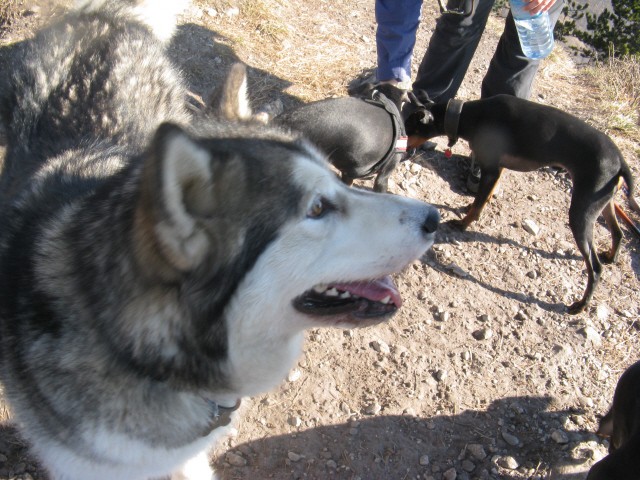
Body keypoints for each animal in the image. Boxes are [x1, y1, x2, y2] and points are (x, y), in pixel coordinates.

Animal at [408, 94, 636, 316]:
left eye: (409, 128)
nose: (403, 146)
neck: (468, 114)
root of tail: (620, 161)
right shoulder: (497, 169)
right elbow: (483, 197)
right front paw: (468, 209)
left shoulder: (491, 168)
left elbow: (479, 202)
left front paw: (464, 223)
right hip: (603, 203)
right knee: (618, 233)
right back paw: (611, 256)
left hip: (581, 213)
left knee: (595, 268)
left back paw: (580, 305)